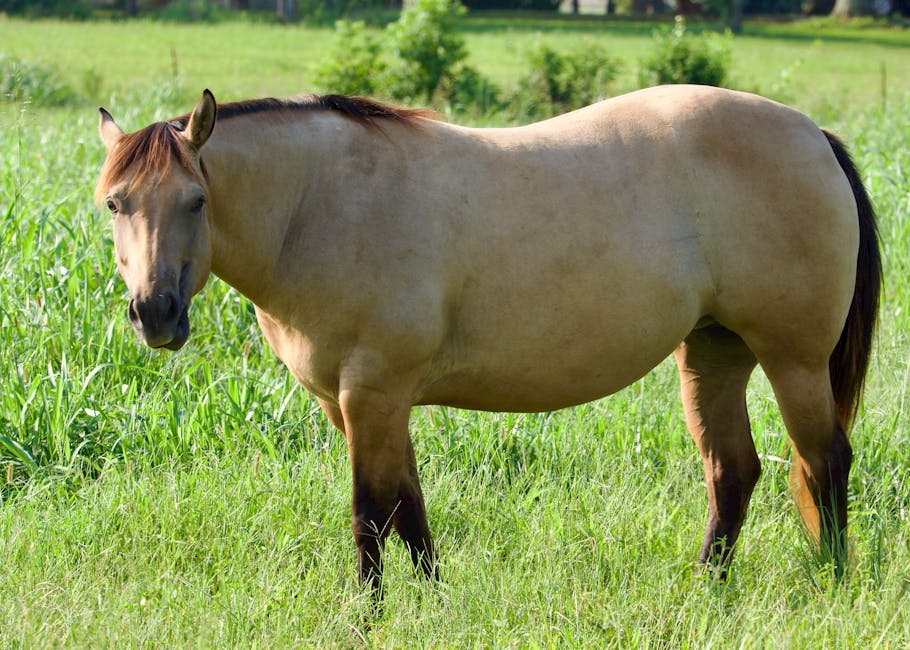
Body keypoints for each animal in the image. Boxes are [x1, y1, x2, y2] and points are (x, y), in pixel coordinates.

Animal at [95, 85, 881, 595]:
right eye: (115, 204)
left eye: (197, 201)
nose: (155, 314)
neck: (324, 206)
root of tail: (813, 134)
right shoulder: (359, 403)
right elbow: (407, 507)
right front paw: (433, 601)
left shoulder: (371, 392)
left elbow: (369, 514)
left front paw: (369, 616)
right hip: (713, 354)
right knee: (734, 472)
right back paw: (704, 590)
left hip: (794, 361)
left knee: (825, 462)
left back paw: (833, 582)